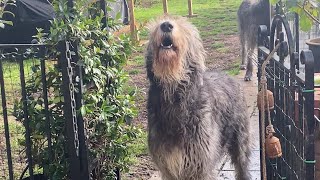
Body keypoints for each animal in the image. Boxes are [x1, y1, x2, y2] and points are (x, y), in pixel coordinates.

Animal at [146, 15, 252, 180]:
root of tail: (231, 77)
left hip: (240, 140)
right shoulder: (168, 167)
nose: (166, 25)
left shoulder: (201, 165)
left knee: (242, 166)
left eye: (185, 27)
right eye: (156, 24)